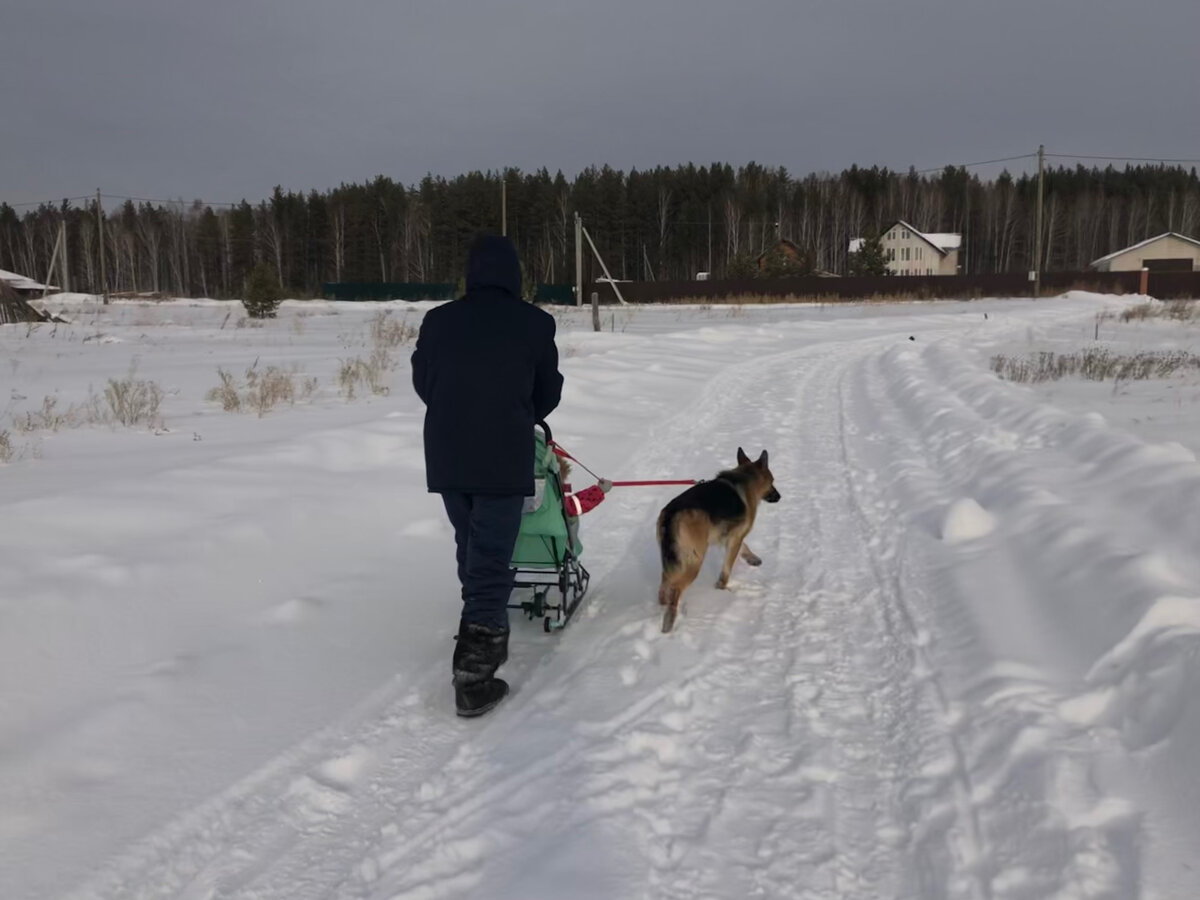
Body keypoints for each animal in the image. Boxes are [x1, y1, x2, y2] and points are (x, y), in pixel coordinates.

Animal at [657, 448, 777, 633]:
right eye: (773, 481)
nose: (779, 496)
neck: (746, 477)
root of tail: (672, 514)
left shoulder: (732, 536)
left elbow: (744, 547)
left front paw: (752, 558)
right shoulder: (734, 539)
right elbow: (727, 568)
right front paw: (722, 588)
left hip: (673, 559)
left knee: (665, 582)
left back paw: (662, 605)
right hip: (694, 561)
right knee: (676, 588)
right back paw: (670, 621)